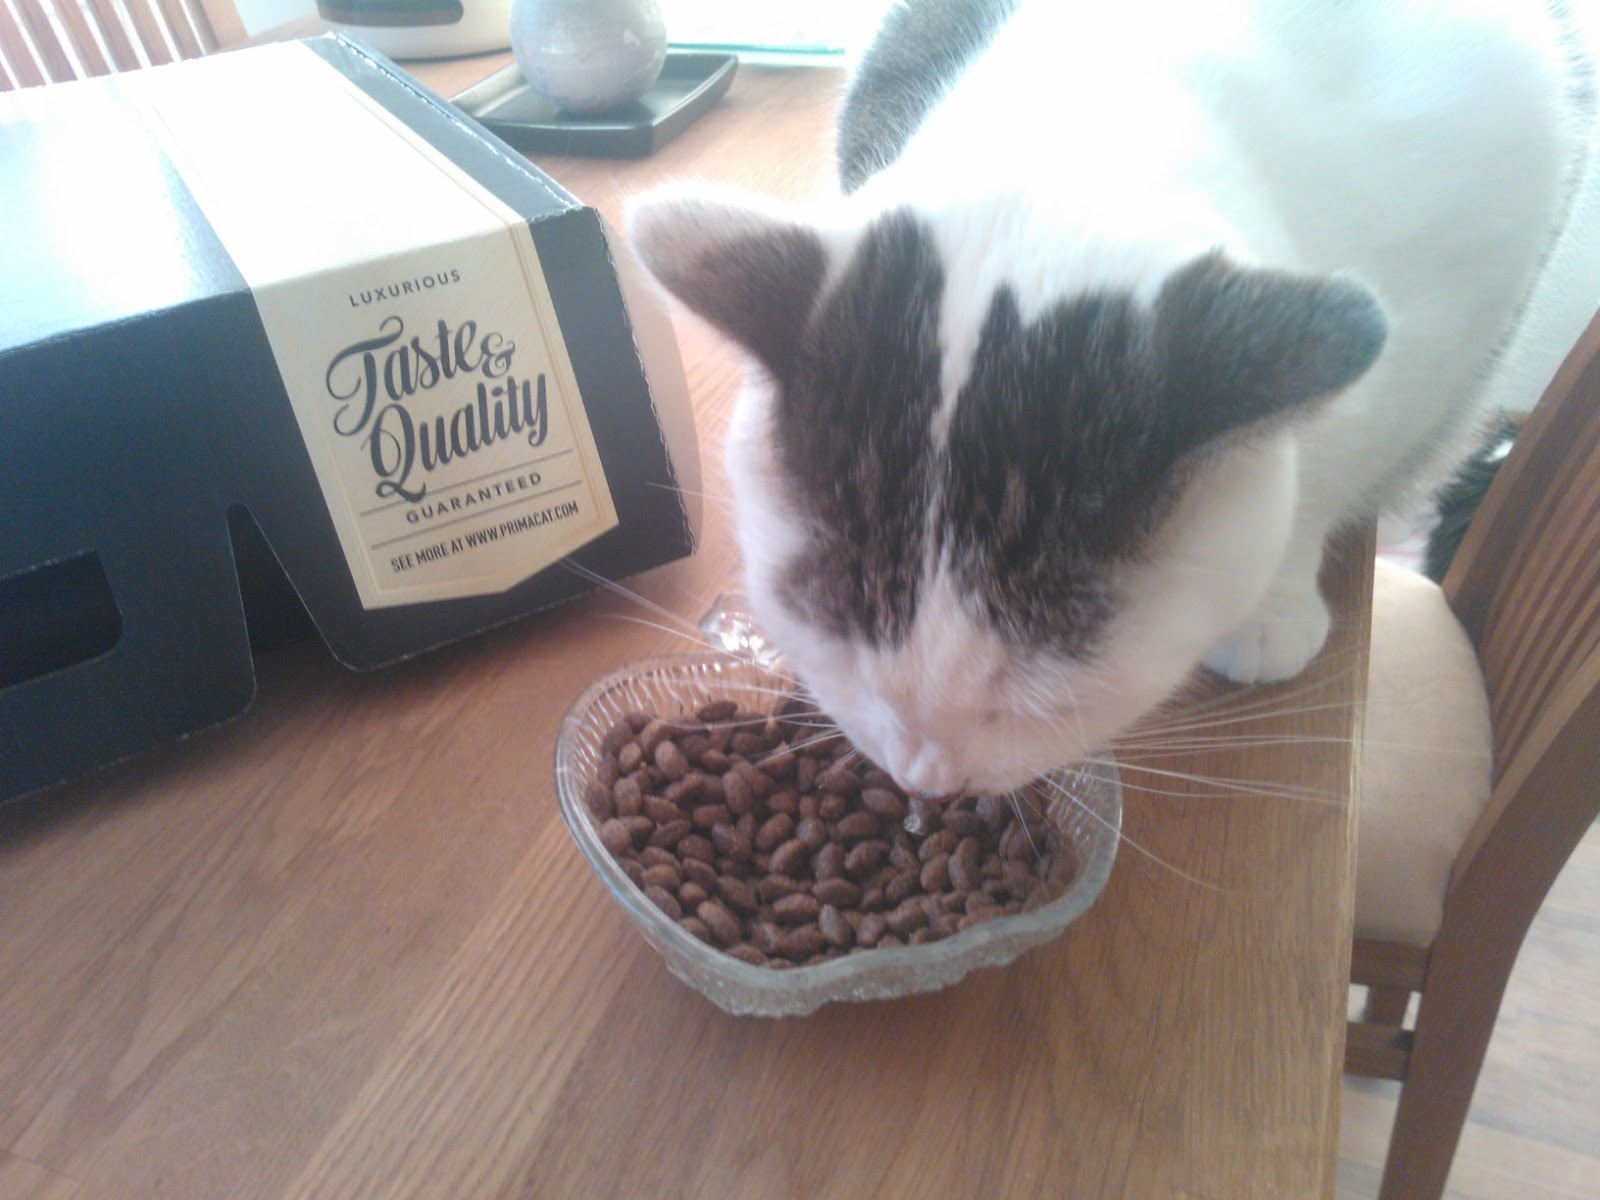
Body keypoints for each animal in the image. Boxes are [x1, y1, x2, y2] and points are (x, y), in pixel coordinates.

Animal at [629, 0, 1592, 796]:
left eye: (1040, 694)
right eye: (845, 660)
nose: (925, 779)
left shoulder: (1461, 294)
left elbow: (1337, 461)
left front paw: (1276, 594)